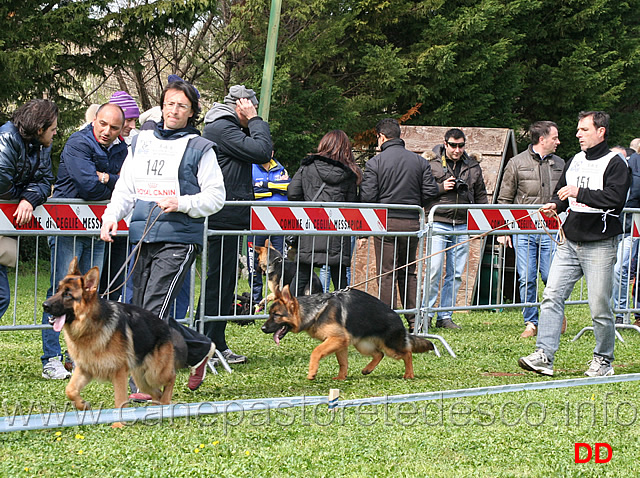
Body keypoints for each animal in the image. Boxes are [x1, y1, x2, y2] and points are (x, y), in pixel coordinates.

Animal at [262, 286, 436, 380]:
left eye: (276, 315)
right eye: (270, 313)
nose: (263, 328)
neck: (316, 310)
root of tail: (398, 318)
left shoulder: (336, 339)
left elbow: (316, 352)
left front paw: (312, 372)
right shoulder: (341, 342)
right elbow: (343, 362)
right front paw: (341, 377)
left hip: (391, 347)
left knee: (407, 353)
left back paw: (409, 374)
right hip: (362, 345)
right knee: (379, 354)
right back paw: (367, 369)